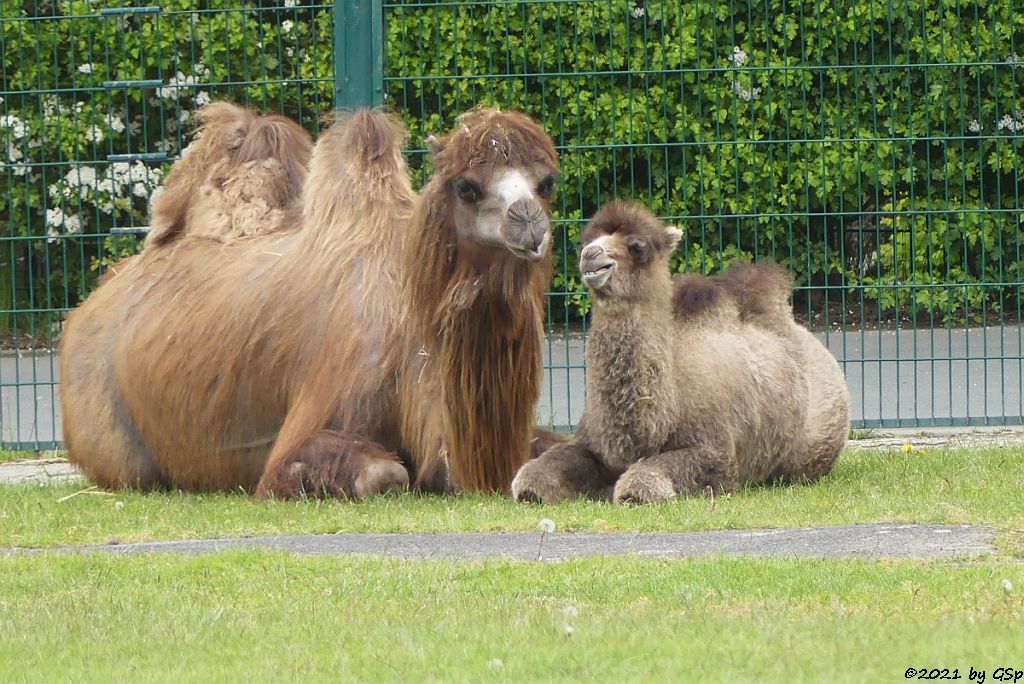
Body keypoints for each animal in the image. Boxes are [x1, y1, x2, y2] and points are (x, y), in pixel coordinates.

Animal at [512, 200, 847, 505]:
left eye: (638, 247)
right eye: (585, 241)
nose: (591, 255)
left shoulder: (717, 454)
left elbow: (642, 483)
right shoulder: (592, 441)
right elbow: (531, 479)